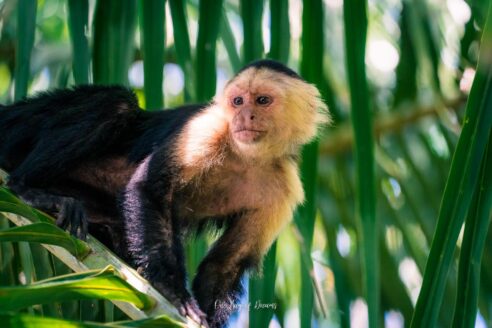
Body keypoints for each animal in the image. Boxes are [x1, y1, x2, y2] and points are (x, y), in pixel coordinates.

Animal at [0, 60, 330, 326]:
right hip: (24, 129)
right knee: (115, 103)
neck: (246, 157)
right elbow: (148, 188)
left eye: (262, 101)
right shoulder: (204, 130)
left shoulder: (284, 189)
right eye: (238, 101)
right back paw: (27, 188)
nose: (245, 116)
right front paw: (174, 292)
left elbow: (226, 263)